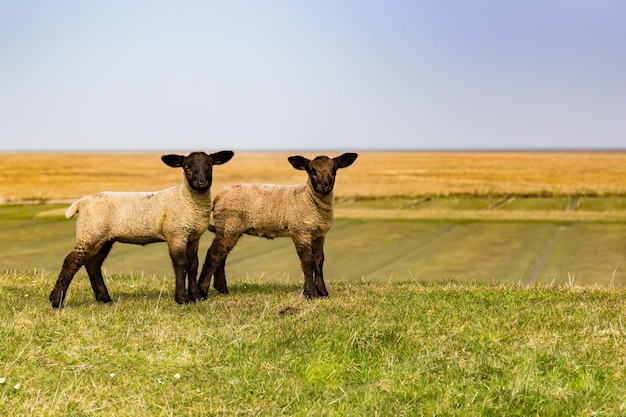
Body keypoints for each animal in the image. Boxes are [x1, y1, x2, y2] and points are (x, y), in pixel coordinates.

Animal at [48, 150, 234, 308]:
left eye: (210, 165)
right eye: (187, 166)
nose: (201, 182)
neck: (185, 199)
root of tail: (81, 202)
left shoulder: (193, 236)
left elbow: (193, 265)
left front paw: (195, 297)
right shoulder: (176, 234)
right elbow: (181, 265)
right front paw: (182, 299)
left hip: (103, 237)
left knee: (92, 264)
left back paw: (104, 298)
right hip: (90, 231)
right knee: (71, 261)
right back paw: (56, 300)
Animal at [197, 153, 358, 300]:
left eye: (334, 170)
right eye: (312, 170)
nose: (325, 186)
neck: (308, 199)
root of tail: (218, 195)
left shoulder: (319, 234)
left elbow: (319, 261)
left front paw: (323, 293)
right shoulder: (300, 231)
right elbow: (308, 261)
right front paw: (312, 294)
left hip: (228, 228)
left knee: (221, 254)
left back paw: (222, 289)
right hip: (229, 225)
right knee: (214, 254)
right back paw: (202, 292)